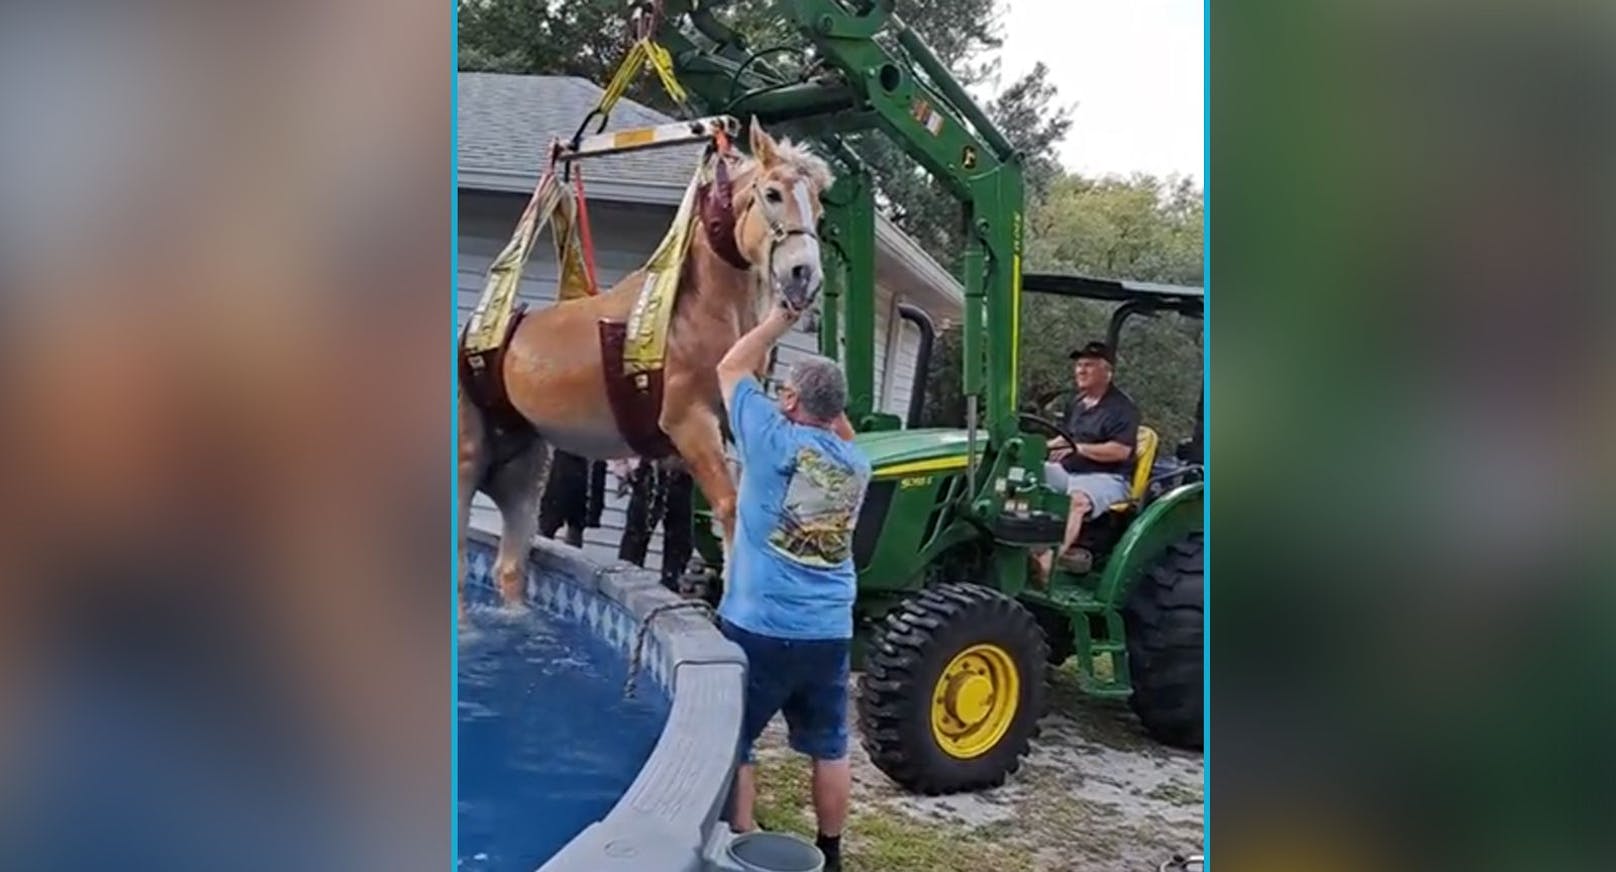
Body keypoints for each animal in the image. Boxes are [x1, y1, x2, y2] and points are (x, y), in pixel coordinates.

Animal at [455, 117, 833, 607]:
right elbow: (730, 509)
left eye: (819, 207)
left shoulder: (733, 423)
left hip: (524, 466)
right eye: (772, 193)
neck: (692, 310)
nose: (804, 275)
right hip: (466, 461)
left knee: (510, 566)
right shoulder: (689, 423)